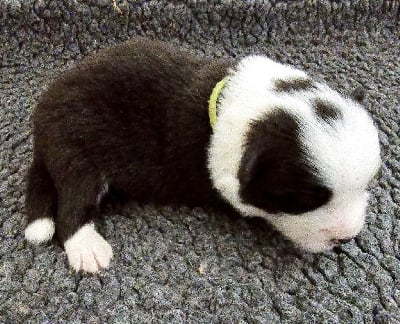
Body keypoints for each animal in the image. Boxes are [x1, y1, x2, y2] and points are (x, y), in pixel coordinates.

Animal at [24, 38, 382, 272]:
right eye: (306, 201)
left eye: (367, 185)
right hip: (77, 151)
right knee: (72, 205)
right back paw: (87, 248)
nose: (347, 237)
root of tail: (41, 124)